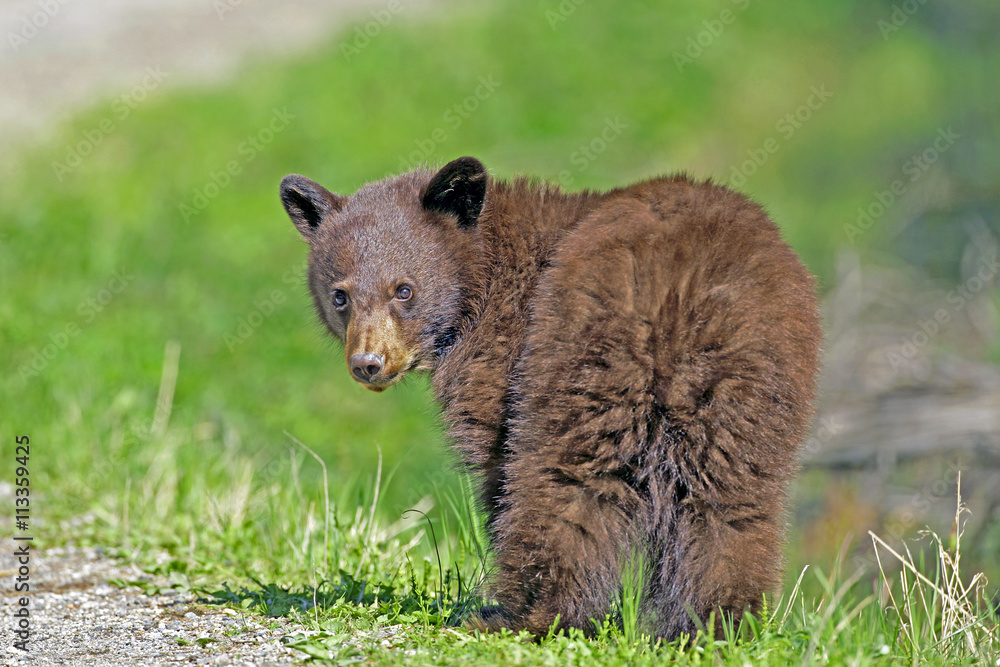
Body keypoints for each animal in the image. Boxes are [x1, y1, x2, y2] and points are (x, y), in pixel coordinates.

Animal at [279, 156, 822, 640]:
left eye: (404, 290)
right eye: (341, 295)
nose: (368, 363)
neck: (485, 276)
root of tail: (684, 290)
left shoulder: (500, 356)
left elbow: (498, 461)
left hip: (581, 358)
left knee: (566, 483)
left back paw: (524, 615)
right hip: (752, 382)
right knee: (732, 502)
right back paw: (714, 625)